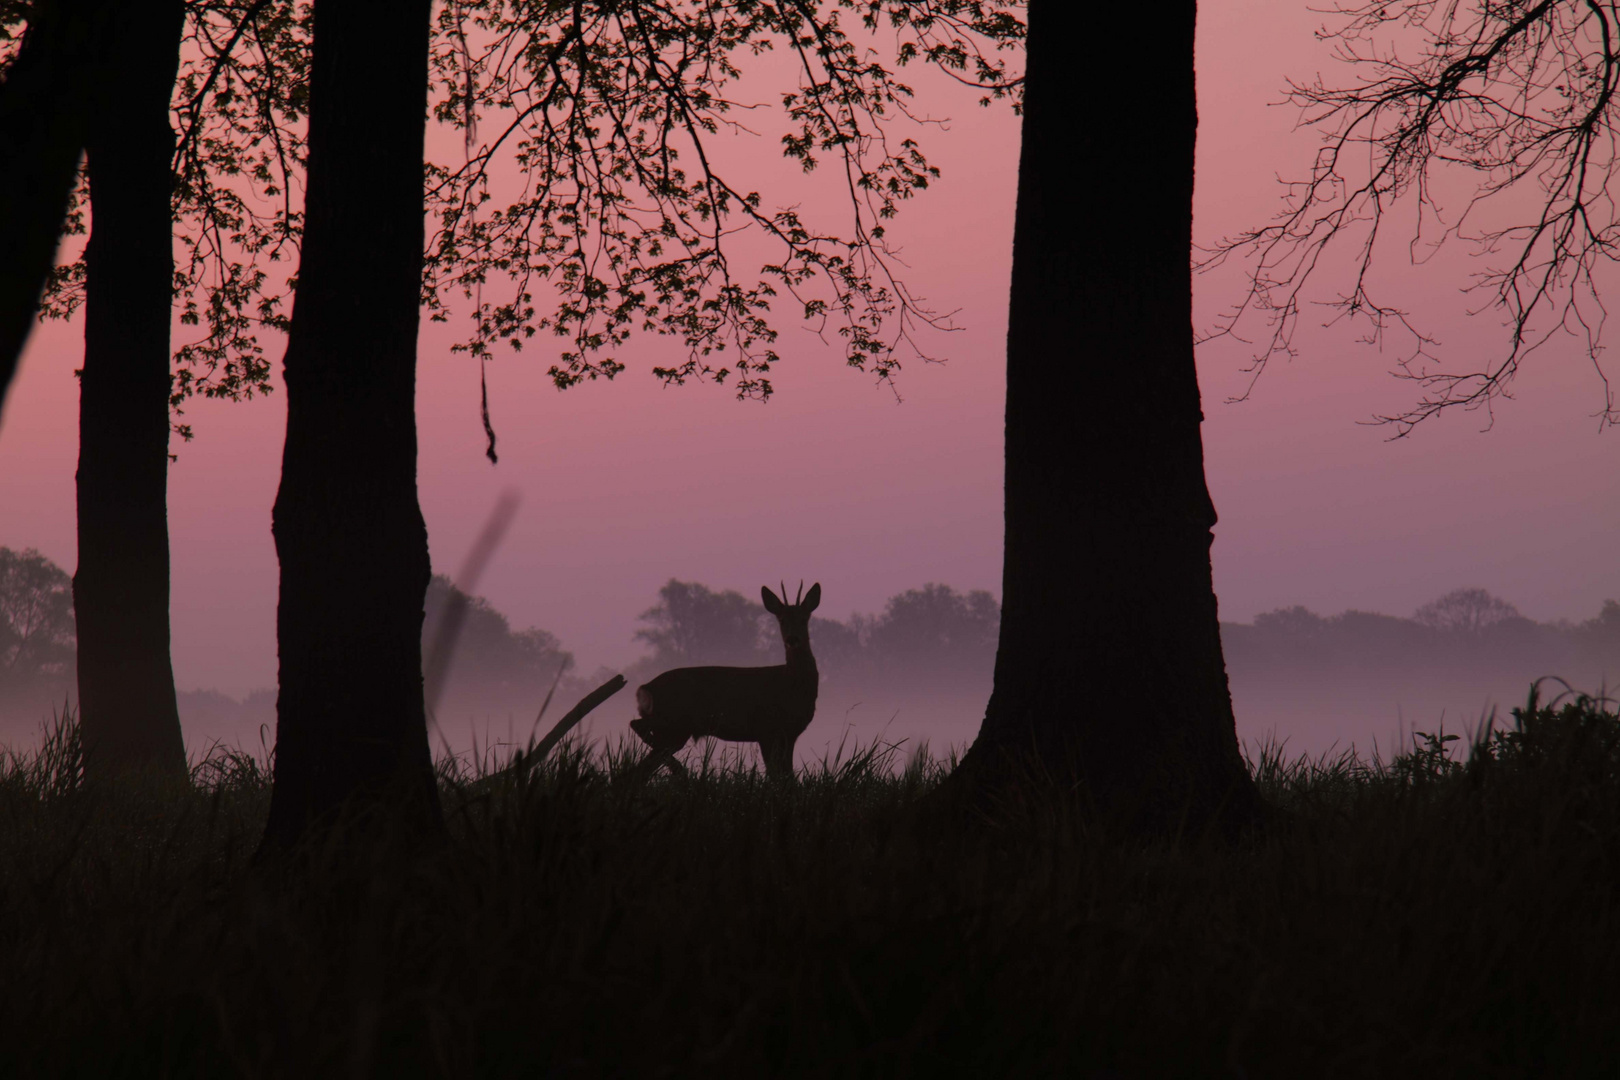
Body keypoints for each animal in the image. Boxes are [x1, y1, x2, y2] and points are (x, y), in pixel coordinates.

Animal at [625, 582, 816, 777]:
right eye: (782, 620)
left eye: (804, 619)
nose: (792, 639)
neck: (791, 684)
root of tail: (644, 688)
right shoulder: (766, 728)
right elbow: (776, 774)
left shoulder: (789, 733)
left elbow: (787, 774)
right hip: (672, 722)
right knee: (640, 743)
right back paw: (681, 770)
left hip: (670, 726)